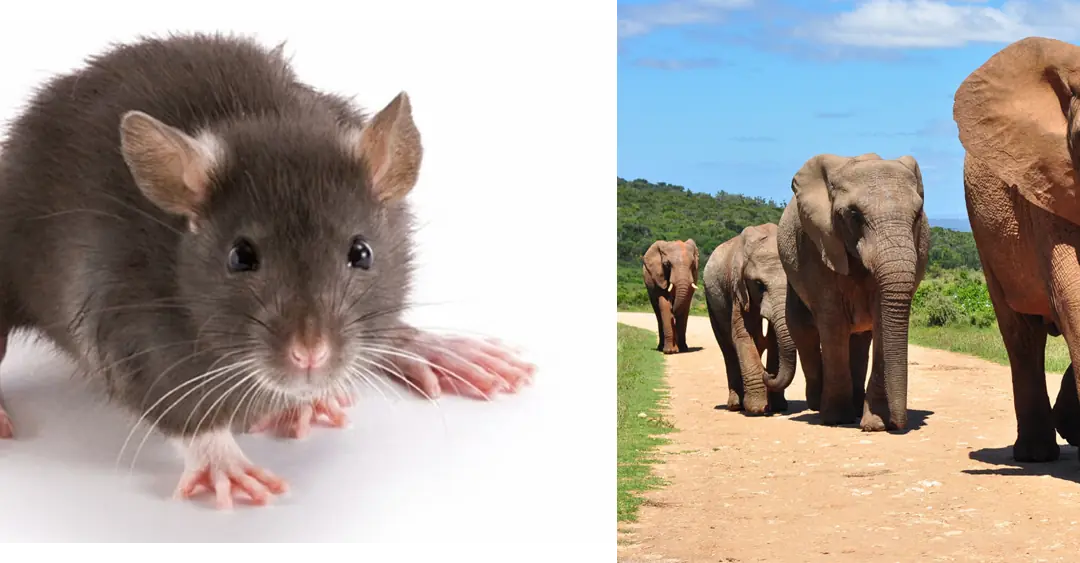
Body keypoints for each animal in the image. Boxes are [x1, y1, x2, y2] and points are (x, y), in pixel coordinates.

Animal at [702, 223, 798, 414]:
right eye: (759, 285)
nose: (768, 374)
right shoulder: (737, 287)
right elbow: (742, 335)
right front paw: (757, 409)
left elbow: (775, 339)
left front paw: (778, 407)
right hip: (711, 300)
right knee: (727, 349)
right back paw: (735, 405)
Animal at [777, 153, 930, 432]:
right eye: (854, 215)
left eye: (917, 215)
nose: (899, 424)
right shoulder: (817, 244)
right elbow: (833, 321)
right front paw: (836, 419)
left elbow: (881, 319)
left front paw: (876, 424)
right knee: (803, 329)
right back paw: (818, 405)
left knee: (859, 338)